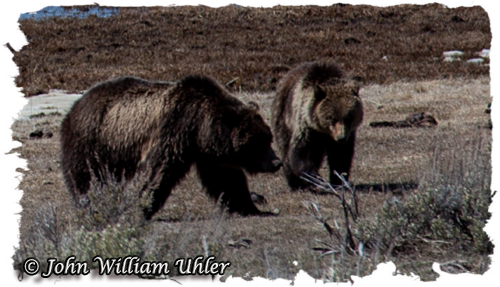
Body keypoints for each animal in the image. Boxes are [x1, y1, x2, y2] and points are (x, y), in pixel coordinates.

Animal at [59, 75, 282, 220]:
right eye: (258, 142)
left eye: (268, 137)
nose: (277, 162)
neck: (199, 124)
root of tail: (76, 105)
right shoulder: (174, 128)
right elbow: (159, 171)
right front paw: (142, 207)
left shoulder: (208, 152)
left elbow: (227, 179)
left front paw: (249, 207)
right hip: (92, 139)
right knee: (85, 177)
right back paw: (89, 204)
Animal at [272, 60, 362, 191]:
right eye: (330, 117)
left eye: (349, 116)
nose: (341, 138)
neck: (324, 131)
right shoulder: (306, 128)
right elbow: (302, 152)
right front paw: (315, 179)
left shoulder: (347, 134)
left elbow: (341, 155)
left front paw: (338, 180)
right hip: (283, 116)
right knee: (285, 149)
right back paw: (294, 183)